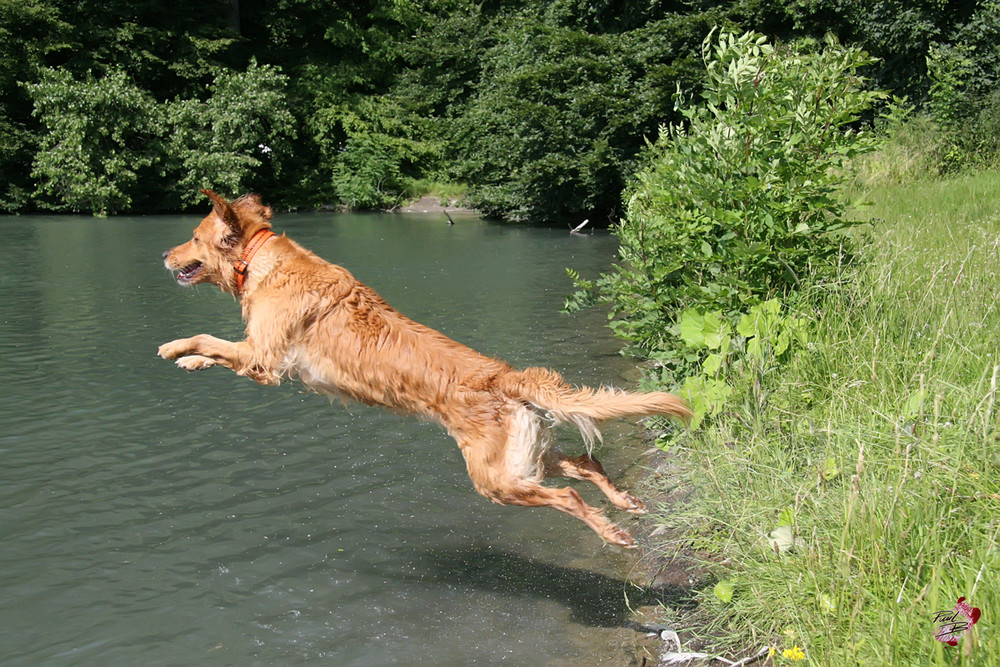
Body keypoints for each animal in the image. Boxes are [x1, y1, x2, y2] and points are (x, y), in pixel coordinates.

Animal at [160, 189, 692, 548]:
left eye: (192, 237)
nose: (163, 253)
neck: (261, 260)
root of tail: (504, 375)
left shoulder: (263, 357)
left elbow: (210, 339)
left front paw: (174, 347)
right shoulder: (259, 356)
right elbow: (215, 349)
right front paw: (189, 361)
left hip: (498, 479)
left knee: (568, 496)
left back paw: (611, 531)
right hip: (528, 456)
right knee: (585, 463)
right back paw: (624, 503)